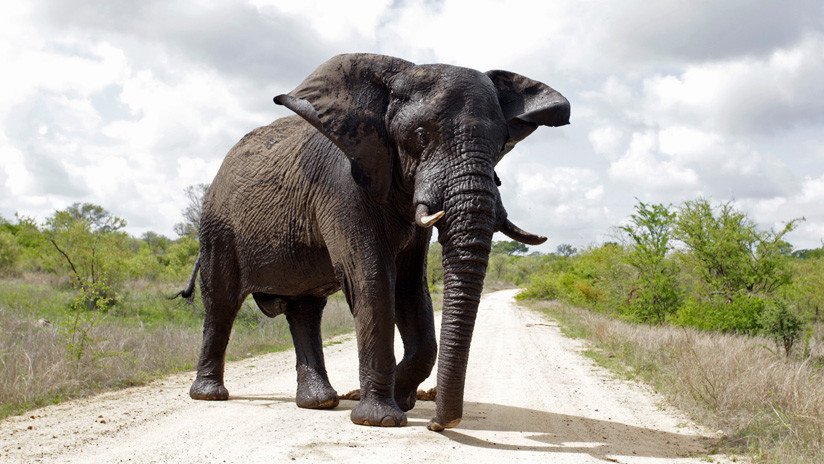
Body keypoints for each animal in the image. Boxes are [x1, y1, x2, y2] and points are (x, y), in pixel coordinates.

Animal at [178, 54, 568, 432]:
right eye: (421, 135)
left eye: (502, 144)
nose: (439, 425)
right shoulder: (342, 187)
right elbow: (374, 281)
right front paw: (381, 419)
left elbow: (411, 289)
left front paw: (400, 399)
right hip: (218, 226)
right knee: (221, 302)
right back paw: (211, 395)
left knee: (304, 310)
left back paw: (322, 401)